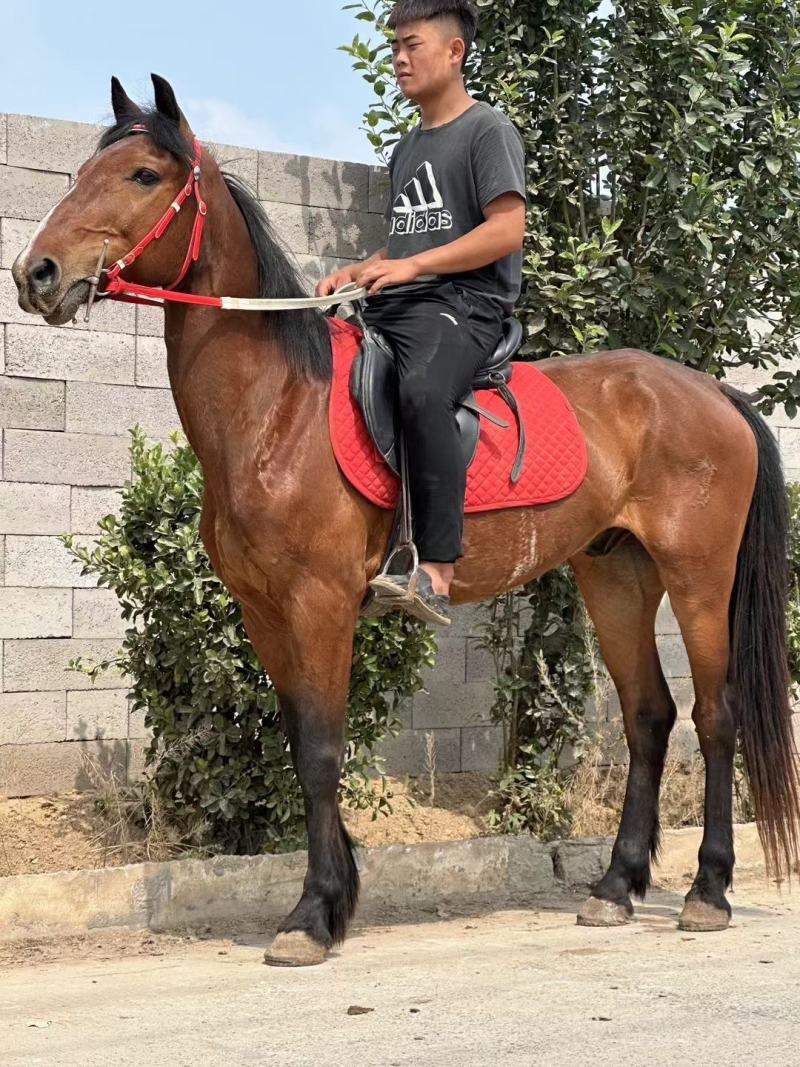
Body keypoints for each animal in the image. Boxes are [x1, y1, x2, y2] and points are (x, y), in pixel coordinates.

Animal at [12, 74, 800, 966]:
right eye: (84, 169)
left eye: (144, 174)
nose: (37, 273)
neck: (278, 408)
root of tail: (714, 392)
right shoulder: (264, 610)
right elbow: (300, 744)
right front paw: (335, 896)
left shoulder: (319, 603)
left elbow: (323, 752)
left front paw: (312, 913)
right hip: (616, 574)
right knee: (648, 716)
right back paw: (615, 886)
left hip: (699, 575)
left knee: (716, 715)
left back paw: (708, 890)